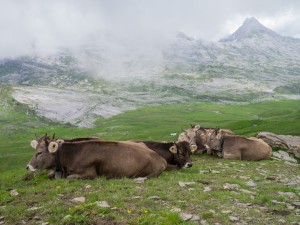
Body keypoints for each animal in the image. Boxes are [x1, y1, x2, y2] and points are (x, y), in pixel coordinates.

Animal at [27, 134, 168, 180]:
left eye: (39, 152)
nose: (28, 167)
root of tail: (160, 158)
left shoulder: (90, 174)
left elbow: (70, 178)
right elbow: (50, 174)